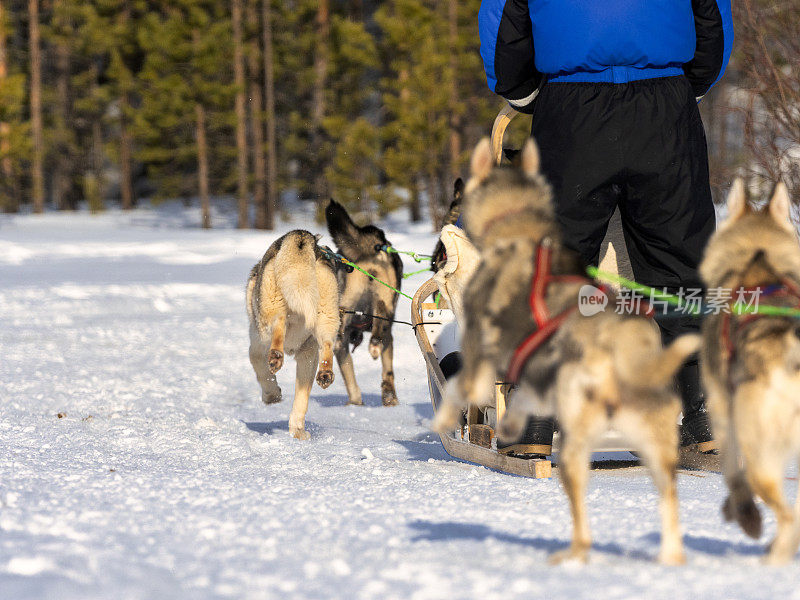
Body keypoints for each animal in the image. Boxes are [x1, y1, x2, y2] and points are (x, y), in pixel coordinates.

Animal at [247, 230, 340, 440]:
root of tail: (301, 236)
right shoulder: (308, 355)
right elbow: (301, 398)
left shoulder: (255, 348)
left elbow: (263, 375)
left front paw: (272, 395)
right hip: (326, 317)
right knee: (327, 344)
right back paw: (325, 374)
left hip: (267, 323)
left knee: (278, 325)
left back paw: (276, 356)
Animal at [324, 199, 404, 406]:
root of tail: (373, 245)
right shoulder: (389, 337)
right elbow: (387, 372)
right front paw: (389, 397)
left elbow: (350, 378)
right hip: (382, 303)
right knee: (380, 320)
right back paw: (374, 343)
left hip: (346, 303)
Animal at [696, 180, 800, 564]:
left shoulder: (722, 410)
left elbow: (732, 474)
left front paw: (743, 513)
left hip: (760, 449)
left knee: (788, 512)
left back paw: (774, 552)